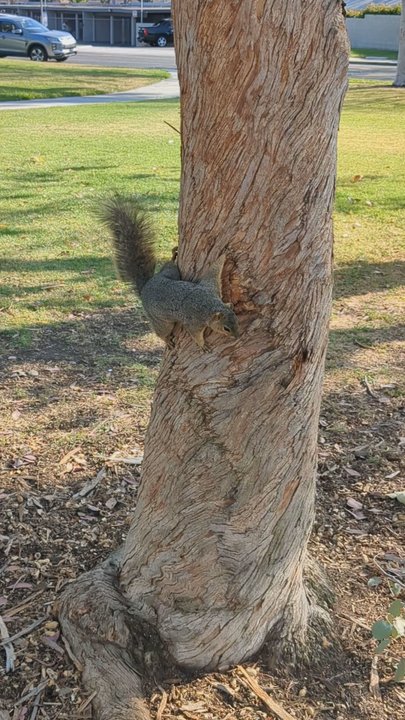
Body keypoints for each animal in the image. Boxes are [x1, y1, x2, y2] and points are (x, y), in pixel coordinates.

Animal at [99, 196, 239, 350]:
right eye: (226, 328)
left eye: (237, 320)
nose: (238, 336)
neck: (207, 303)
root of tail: (145, 287)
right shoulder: (194, 321)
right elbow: (194, 334)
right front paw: (202, 345)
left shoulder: (210, 286)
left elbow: (214, 269)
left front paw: (225, 254)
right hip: (161, 321)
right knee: (161, 331)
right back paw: (166, 340)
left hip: (171, 273)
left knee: (169, 267)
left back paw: (173, 257)